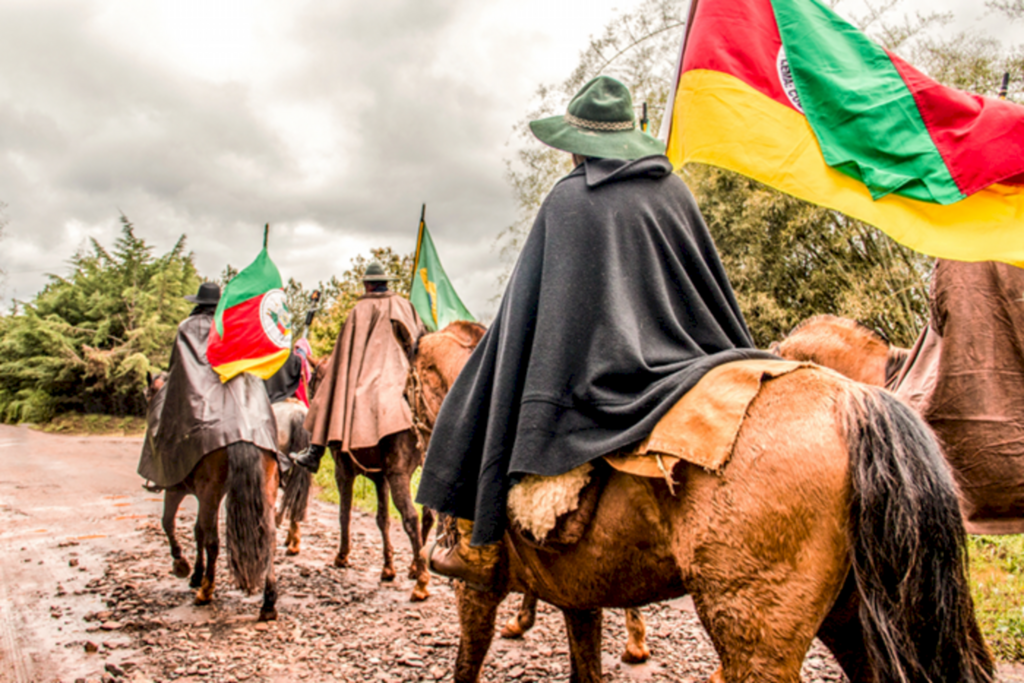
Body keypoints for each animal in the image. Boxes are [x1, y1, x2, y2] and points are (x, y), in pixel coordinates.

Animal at [147, 374, 280, 618]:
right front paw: (195, 574)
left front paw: (182, 565)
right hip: (266, 489)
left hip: (211, 493)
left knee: (213, 542)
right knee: (269, 539)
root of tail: (243, 430)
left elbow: (169, 523)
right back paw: (268, 603)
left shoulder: (176, 489)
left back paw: (206, 591)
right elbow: (197, 530)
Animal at [407, 329, 991, 679]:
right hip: (854, 618)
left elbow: (467, 662)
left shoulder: (476, 589)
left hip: (758, 640)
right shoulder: (580, 593)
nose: (413, 436)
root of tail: (851, 397)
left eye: (412, 381)